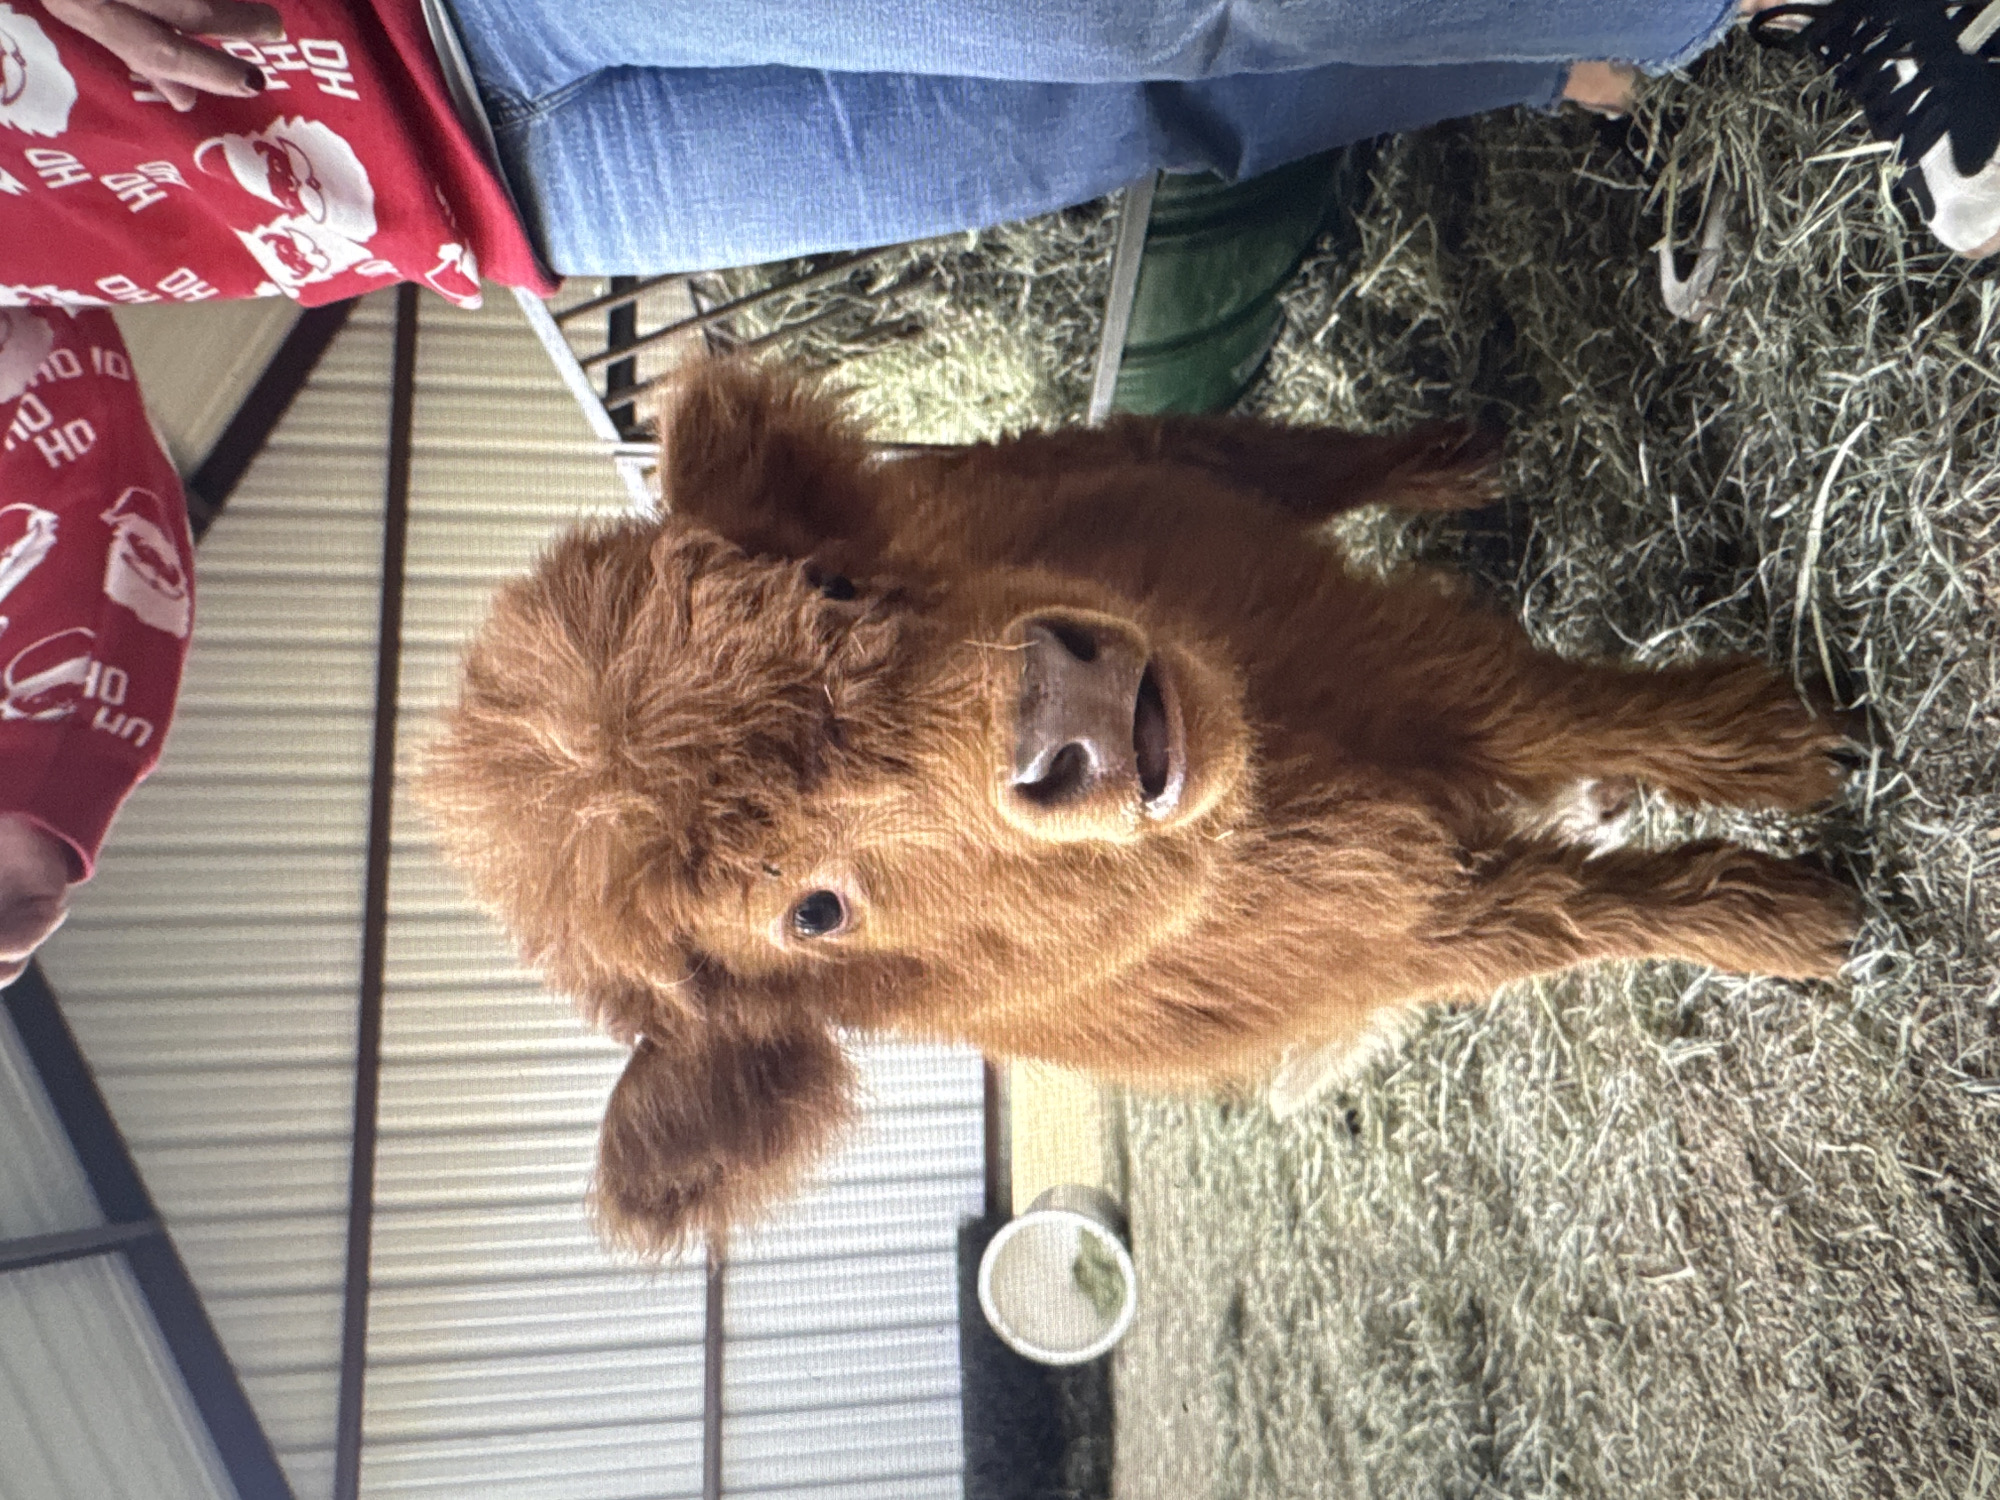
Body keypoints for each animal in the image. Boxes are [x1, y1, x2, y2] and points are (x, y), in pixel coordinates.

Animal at [418, 360, 1857, 1253]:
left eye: (830, 588)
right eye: (808, 914)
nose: (1072, 713)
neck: (1274, 809)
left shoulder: (1395, 651)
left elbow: (1566, 709)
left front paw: (1781, 743)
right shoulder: (1413, 929)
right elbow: (1581, 915)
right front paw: (1789, 917)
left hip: (1157, 463)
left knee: (1272, 458)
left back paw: (1457, 459)